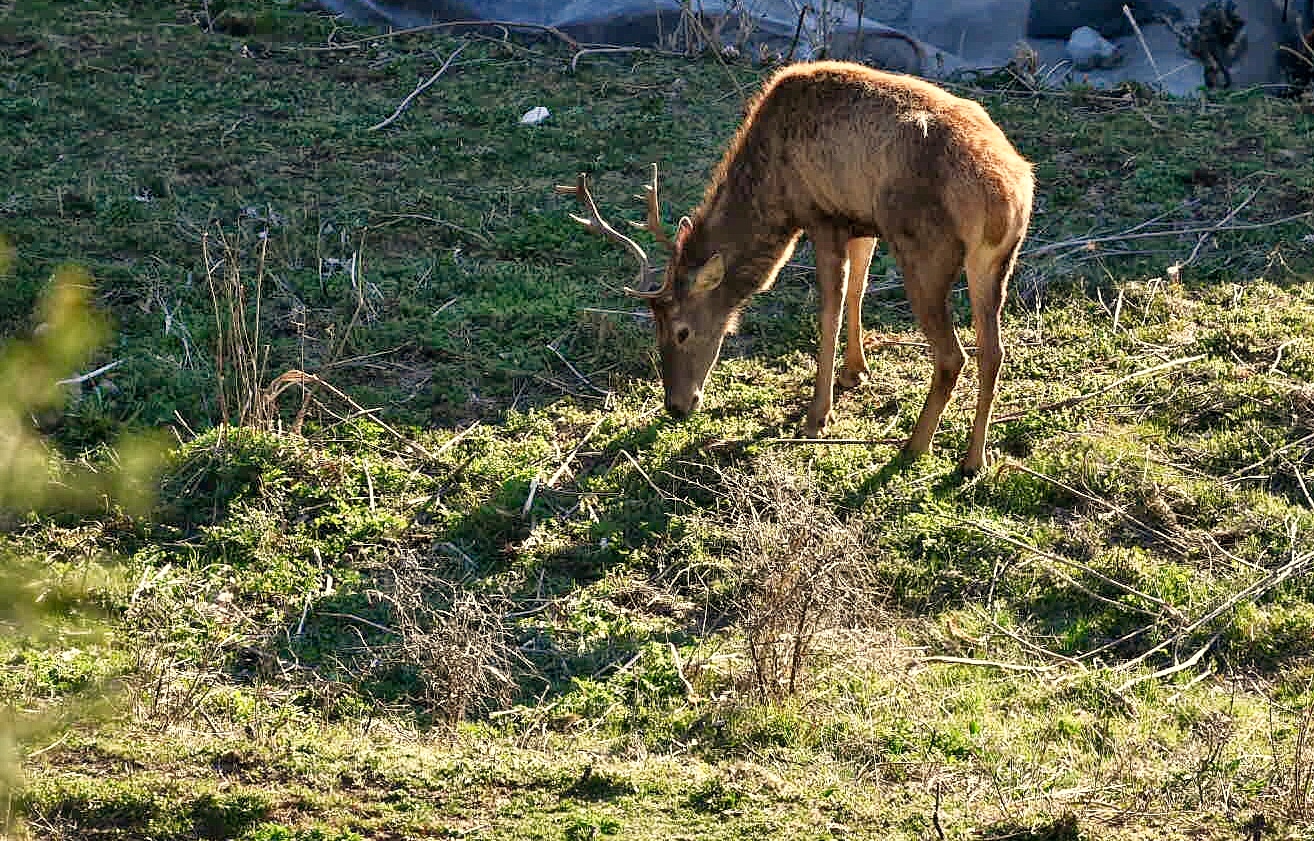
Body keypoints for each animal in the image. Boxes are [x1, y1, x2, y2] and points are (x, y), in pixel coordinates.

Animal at [557, 61, 1033, 475]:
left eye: (681, 331)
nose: (676, 406)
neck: (775, 192)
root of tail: (1008, 196)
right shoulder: (862, 222)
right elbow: (859, 291)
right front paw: (855, 372)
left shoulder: (822, 217)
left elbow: (829, 312)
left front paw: (817, 415)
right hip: (994, 263)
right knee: (993, 351)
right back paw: (974, 458)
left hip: (924, 250)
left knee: (953, 354)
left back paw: (915, 446)